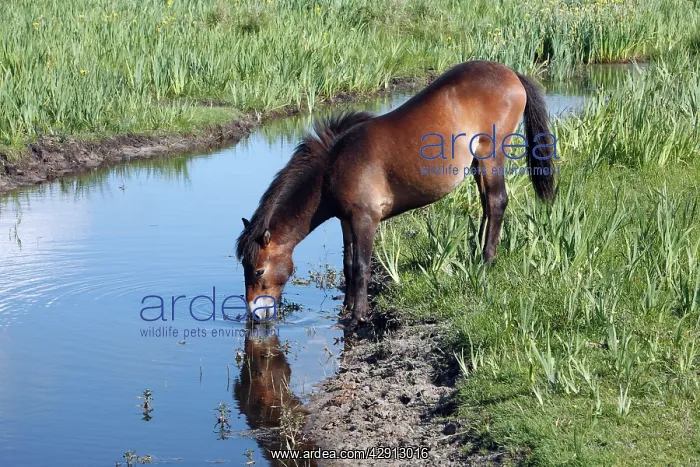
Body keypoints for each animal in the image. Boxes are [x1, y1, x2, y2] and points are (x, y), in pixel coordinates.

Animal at [236, 60, 556, 331]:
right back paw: (477, 254)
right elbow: (348, 264)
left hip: (492, 156)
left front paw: (357, 317)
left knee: (496, 202)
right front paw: (346, 308)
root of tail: (511, 73)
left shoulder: (366, 219)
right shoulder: (346, 221)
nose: (256, 315)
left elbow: (362, 266)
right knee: (487, 206)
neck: (333, 166)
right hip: (478, 163)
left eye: (258, 271)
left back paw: (487, 261)